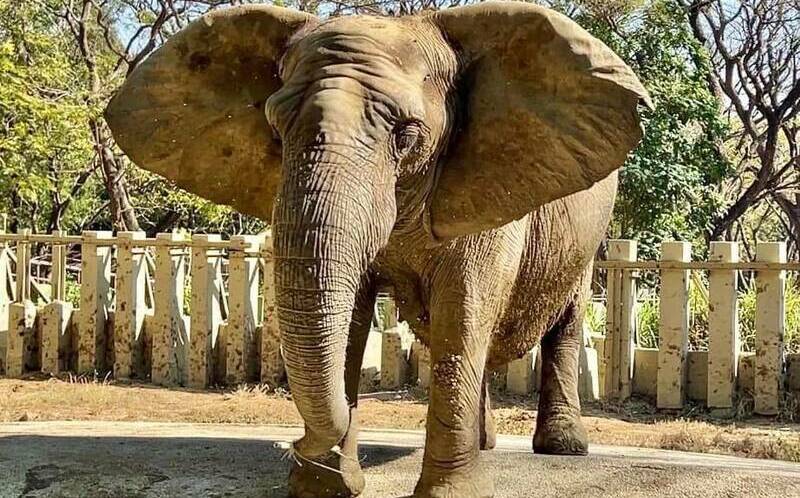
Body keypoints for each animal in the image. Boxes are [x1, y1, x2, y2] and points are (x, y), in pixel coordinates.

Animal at [105, 2, 650, 497]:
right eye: (275, 130)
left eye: (407, 136)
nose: (294, 447)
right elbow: (351, 322)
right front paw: (325, 486)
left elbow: (462, 312)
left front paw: (446, 495)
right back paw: (486, 444)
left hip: (588, 236)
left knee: (563, 323)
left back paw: (563, 448)